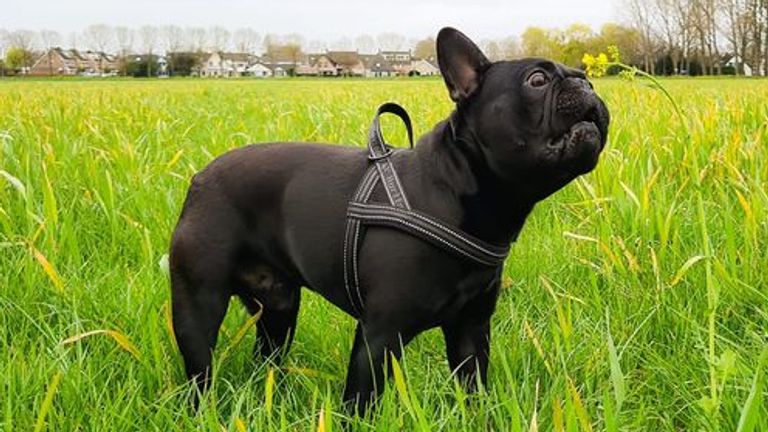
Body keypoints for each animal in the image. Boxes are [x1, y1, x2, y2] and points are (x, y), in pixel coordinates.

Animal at [171, 26, 608, 412]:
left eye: (584, 76)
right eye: (537, 80)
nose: (587, 85)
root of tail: (200, 178)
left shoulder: (471, 331)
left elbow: (473, 390)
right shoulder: (380, 334)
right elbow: (361, 400)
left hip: (279, 308)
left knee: (267, 356)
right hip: (199, 303)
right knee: (199, 371)